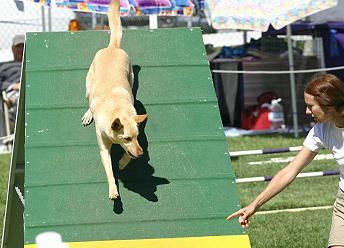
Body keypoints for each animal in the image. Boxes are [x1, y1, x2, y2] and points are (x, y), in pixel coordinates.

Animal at [83, 0, 149, 200]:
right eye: (126, 137)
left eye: (136, 137)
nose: (141, 154)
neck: (115, 109)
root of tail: (112, 47)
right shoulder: (104, 148)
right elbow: (109, 171)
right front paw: (113, 189)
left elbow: (128, 154)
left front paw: (123, 162)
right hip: (88, 84)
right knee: (88, 99)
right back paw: (88, 114)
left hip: (131, 77)